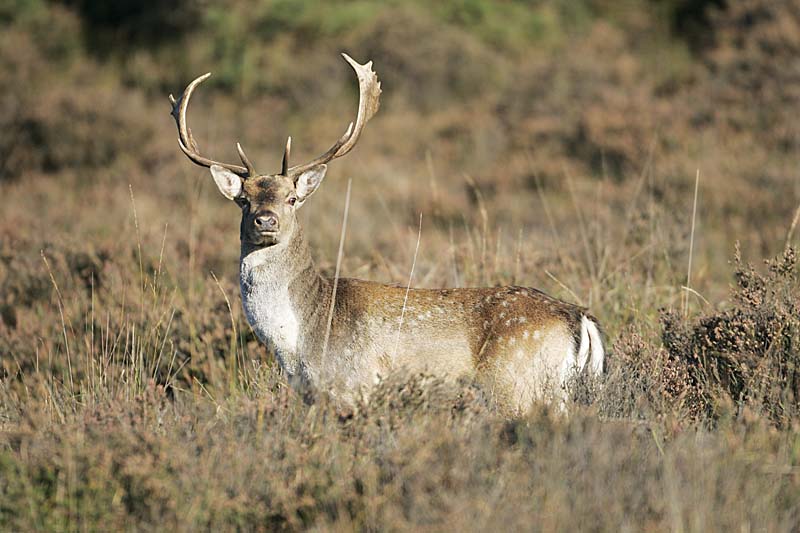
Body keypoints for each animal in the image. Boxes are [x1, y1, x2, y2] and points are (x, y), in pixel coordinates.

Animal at [170, 53, 608, 412]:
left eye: (291, 198)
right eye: (243, 200)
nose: (265, 220)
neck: (299, 341)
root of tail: (580, 319)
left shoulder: (354, 386)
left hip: (517, 384)